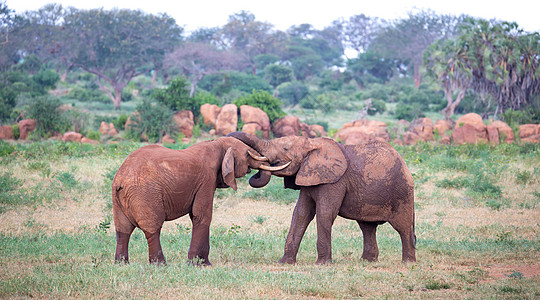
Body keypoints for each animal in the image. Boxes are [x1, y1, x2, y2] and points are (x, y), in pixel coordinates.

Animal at [113, 137, 274, 264]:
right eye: (247, 154)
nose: (253, 173)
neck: (217, 143)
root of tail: (120, 178)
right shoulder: (206, 180)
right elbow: (202, 215)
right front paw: (200, 264)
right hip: (146, 193)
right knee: (152, 228)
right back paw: (160, 265)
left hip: (119, 198)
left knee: (123, 230)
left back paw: (122, 264)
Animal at [229, 132, 418, 264]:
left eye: (285, 149)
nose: (252, 171)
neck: (312, 143)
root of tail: (405, 165)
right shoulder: (308, 176)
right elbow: (301, 213)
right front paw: (284, 263)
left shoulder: (334, 181)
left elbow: (324, 213)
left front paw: (322, 264)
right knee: (367, 227)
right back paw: (367, 261)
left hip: (402, 193)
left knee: (403, 227)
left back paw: (408, 263)